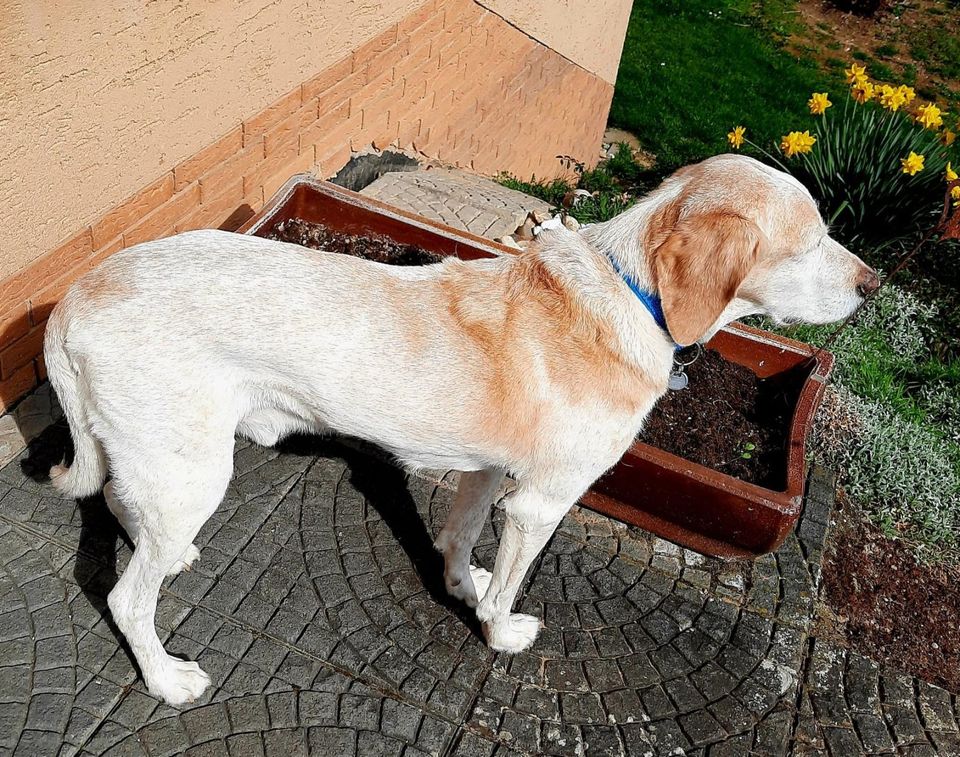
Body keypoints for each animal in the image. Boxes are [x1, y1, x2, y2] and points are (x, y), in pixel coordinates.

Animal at [41, 154, 872, 704]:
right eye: (808, 242)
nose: (874, 283)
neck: (629, 292)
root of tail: (73, 296)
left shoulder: (485, 470)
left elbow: (460, 535)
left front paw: (461, 584)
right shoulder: (539, 503)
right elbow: (507, 589)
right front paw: (498, 632)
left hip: (167, 461)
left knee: (120, 503)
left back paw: (170, 555)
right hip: (195, 470)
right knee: (125, 599)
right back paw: (165, 676)